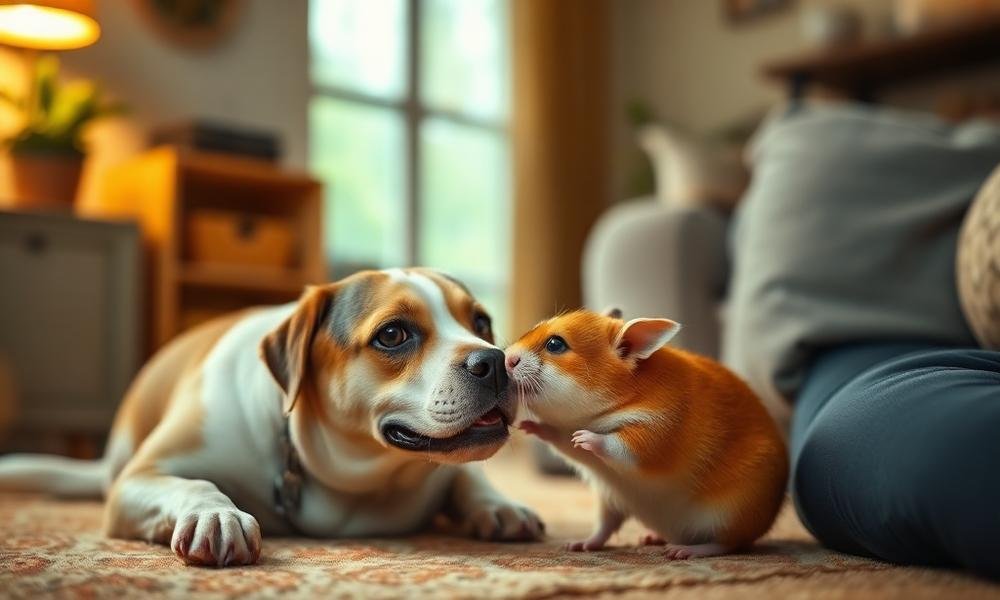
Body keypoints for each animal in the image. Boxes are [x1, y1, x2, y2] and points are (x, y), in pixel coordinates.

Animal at [505, 308, 788, 559]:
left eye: (555, 344)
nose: (506, 359)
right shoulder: (572, 442)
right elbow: (560, 438)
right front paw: (530, 426)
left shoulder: (653, 434)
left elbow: (615, 444)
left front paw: (587, 437)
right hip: (610, 500)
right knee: (604, 530)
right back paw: (592, 543)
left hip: (729, 515)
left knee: (726, 544)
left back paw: (686, 550)